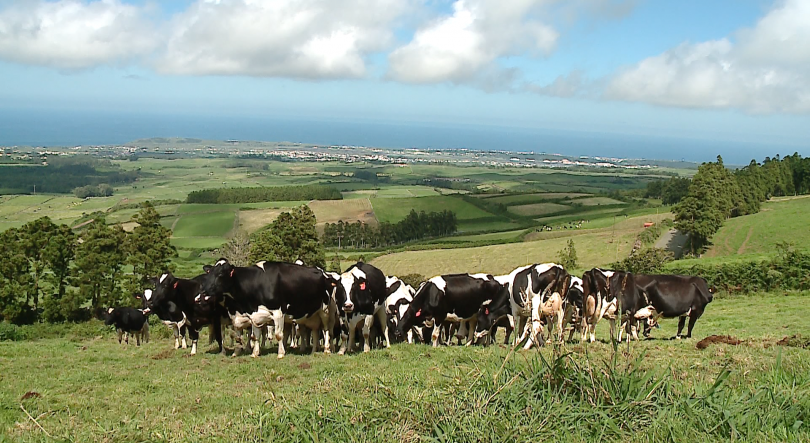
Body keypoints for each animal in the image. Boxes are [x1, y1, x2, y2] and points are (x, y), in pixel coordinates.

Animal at [200, 258, 336, 360]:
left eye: (220, 274)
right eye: (209, 273)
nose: (203, 291)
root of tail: (324, 273)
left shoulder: (278, 312)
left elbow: (278, 335)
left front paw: (281, 353)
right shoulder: (255, 315)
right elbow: (255, 336)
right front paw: (255, 353)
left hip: (325, 311)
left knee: (326, 330)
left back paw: (327, 349)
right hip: (313, 315)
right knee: (315, 330)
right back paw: (314, 350)